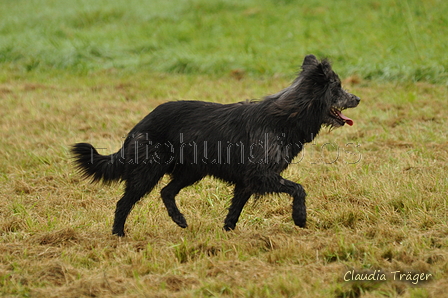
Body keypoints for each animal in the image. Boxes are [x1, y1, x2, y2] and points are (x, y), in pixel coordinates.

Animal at [72, 54, 358, 235]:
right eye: (338, 87)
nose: (357, 98)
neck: (287, 116)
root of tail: (140, 124)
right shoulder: (260, 175)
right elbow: (299, 188)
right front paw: (300, 217)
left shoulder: (248, 181)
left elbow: (235, 210)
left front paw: (227, 233)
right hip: (148, 172)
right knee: (124, 203)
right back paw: (118, 234)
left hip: (191, 171)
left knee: (166, 192)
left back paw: (179, 220)